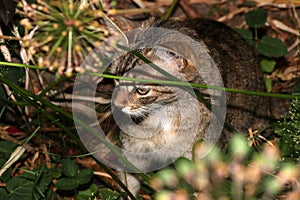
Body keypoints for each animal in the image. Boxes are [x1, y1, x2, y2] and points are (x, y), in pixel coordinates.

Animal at [108, 16, 272, 197]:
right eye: (115, 80)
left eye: (142, 90)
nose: (116, 104)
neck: (163, 116)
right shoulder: (133, 153)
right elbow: (128, 183)